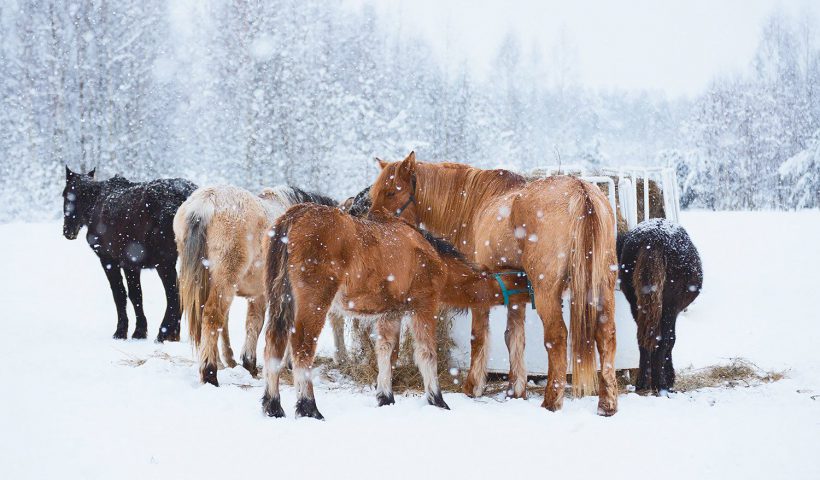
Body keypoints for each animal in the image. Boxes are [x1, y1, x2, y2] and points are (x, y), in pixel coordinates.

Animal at [61, 167, 196, 344]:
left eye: (65, 194)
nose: (67, 231)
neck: (96, 203)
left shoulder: (110, 261)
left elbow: (121, 294)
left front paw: (123, 331)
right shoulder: (132, 265)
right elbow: (136, 295)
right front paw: (139, 331)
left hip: (164, 263)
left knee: (174, 295)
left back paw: (163, 334)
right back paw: (173, 334)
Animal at [175, 184, 338, 386]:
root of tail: (204, 202)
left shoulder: (257, 295)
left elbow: (252, 323)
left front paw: (247, 363)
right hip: (225, 281)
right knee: (212, 317)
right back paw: (210, 373)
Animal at [264, 204, 532, 418]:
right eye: (524, 280)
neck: (434, 257)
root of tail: (295, 214)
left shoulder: (390, 313)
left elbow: (386, 351)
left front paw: (385, 397)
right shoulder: (423, 307)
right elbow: (426, 354)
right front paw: (437, 400)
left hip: (280, 301)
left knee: (273, 345)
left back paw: (273, 406)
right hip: (314, 302)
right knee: (302, 347)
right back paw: (308, 407)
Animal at [368, 152, 620, 414]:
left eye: (391, 192)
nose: (374, 226)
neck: (473, 205)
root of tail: (581, 192)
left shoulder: (480, 288)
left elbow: (478, 336)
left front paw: (474, 386)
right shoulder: (516, 293)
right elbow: (514, 336)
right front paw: (515, 390)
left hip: (547, 291)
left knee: (557, 336)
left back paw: (552, 400)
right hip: (603, 286)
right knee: (606, 334)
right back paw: (607, 403)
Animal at [620, 219, 700, 396]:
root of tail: (653, 239)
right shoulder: (673, 310)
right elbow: (670, 340)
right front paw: (669, 380)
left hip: (637, 305)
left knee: (643, 338)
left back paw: (643, 383)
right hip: (669, 306)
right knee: (662, 339)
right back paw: (661, 385)